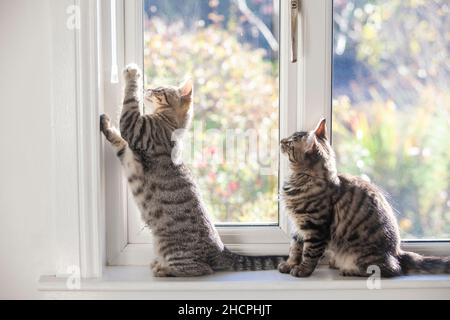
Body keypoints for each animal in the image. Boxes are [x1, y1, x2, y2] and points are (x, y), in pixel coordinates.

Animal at [101, 63, 284, 276]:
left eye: (159, 90)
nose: (148, 87)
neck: (170, 124)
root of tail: (221, 250)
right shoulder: (129, 153)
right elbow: (117, 139)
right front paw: (105, 123)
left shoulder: (135, 127)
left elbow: (130, 100)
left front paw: (132, 72)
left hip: (175, 252)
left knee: (202, 269)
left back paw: (162, 268)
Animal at [280, 119, 448, 276]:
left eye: (290, 143)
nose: (281, 140)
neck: (301, 179)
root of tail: (397, 252)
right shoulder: (298, 227)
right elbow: (294, 249)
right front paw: (289, 265)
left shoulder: (315, 228)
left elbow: (309, 254)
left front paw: (302, 270)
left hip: (363, 255)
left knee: (389, 269)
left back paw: (348, 269)